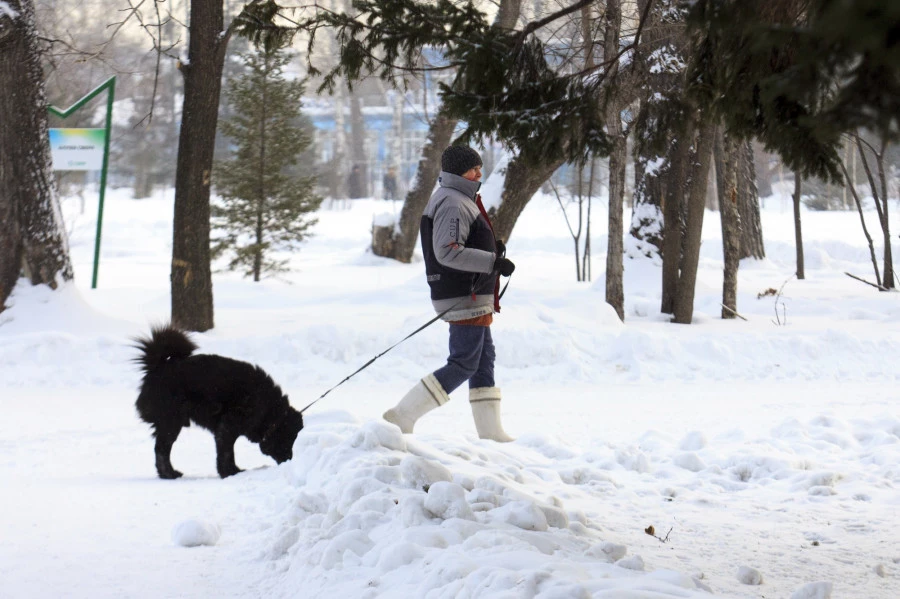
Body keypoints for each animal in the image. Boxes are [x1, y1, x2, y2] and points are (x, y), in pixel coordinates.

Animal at [132, 326, 304, 480]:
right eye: (289, 438)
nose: (289, 459)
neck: (269, 410)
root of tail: (158, 368)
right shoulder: (227, 427)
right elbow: (227, 452)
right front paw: (228, 472)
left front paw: (233, 470)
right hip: (171, 423)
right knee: (161, 450)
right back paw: (169, 474)